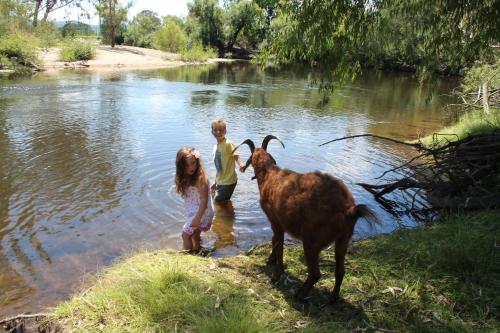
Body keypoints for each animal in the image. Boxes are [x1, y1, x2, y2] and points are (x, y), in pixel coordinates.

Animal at [235, 134, 378, 300]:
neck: (269, 175)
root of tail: (349, 209)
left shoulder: (276, 221)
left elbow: (278, 244)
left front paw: (277, 273)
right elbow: (274, 241)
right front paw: (271, 260)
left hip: (312, 240)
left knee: (316, 273)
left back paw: (300, 295)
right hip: (343, 239)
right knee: (340, 271)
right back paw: (333, 298)